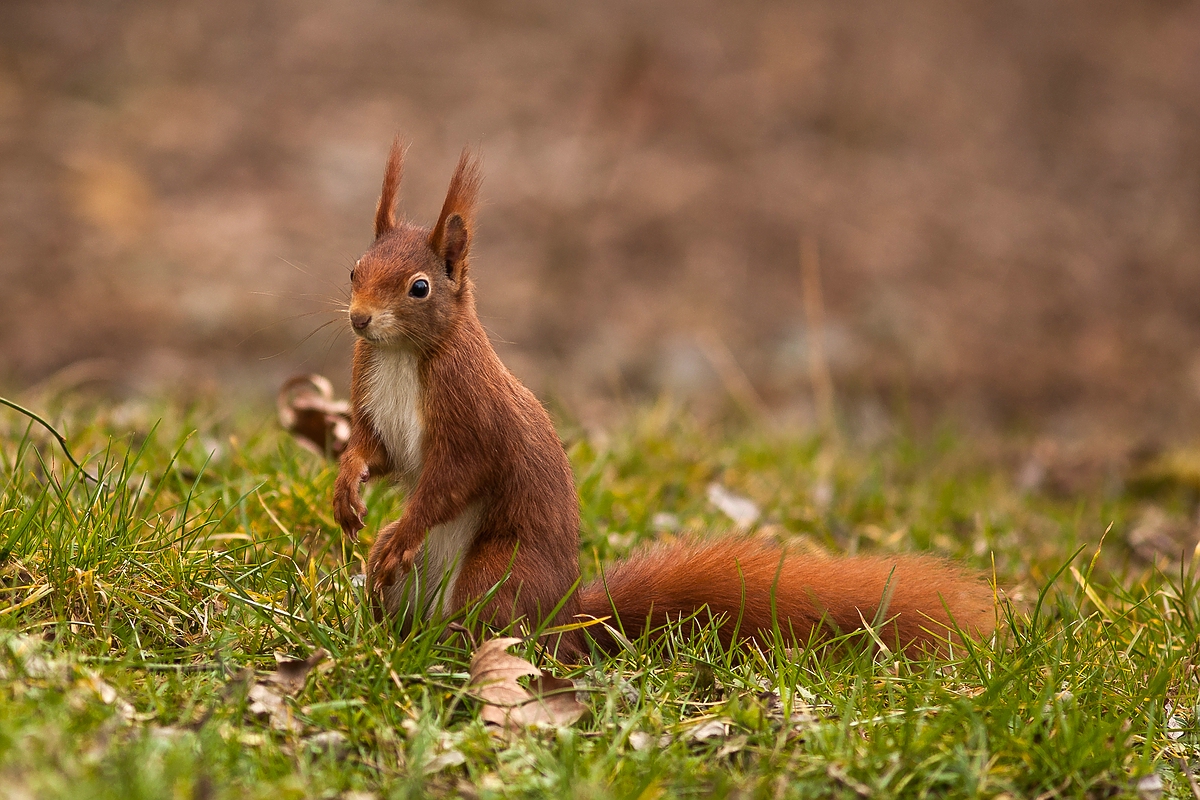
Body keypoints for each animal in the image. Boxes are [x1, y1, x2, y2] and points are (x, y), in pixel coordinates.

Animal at [333, 139, 998, 657]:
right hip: (412, 590)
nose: (360, 320)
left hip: (499, 575)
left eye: (420, 288)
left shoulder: (472, 417)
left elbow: (450, 479)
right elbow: (375, 450)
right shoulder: (371, 390)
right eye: (354, 269)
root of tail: (568, 622)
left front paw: (398, 530)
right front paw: (346, 487)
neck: (403, 356)